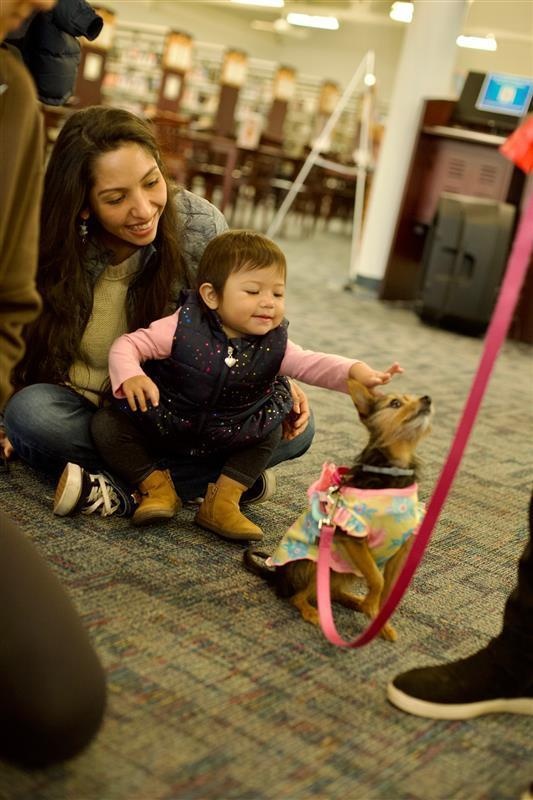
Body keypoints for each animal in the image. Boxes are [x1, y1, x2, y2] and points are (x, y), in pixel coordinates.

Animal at [243, 378, 430, 640]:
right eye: (395, 403)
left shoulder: (401, 549)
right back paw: (315, 612)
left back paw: (355, 602)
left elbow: (387, 591)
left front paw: (378, 619)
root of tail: (279, 575)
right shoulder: (352, 536)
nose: (427, 399)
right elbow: (377, 580)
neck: (393, 470)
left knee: (332, 593)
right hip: (319, 564)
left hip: (343, 571)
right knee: (299, 596)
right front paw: (371, 605)